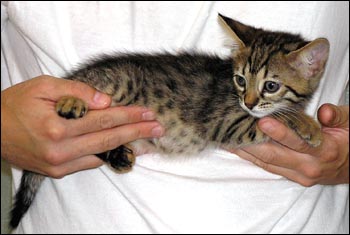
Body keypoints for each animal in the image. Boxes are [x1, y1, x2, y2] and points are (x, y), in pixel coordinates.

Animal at [10, 14, 328, 228]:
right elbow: (273, 118)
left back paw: (118, 156)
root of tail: (76, 75)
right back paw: (70, 102)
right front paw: (310, 126)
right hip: (118, 83)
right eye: (240, 80)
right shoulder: (226, 122)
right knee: (83, 89)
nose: (248, 102)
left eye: (271, 86)